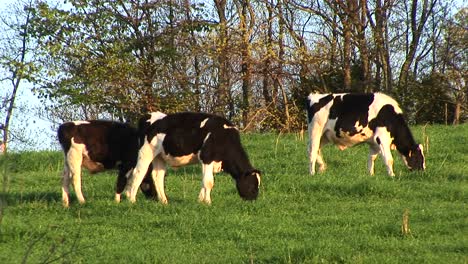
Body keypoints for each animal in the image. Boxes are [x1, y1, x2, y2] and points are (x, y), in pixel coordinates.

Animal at [124, 111, 262, 204]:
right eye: (252, 184)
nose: (253, 200)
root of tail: (147, 116)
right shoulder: (207, 157)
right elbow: (209, 182)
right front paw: (208, 202)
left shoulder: (209, 162)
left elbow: (204, 180)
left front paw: (200, 201)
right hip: (146, 153)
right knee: (138, 173)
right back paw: (132, 199)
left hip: (159, 157)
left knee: (158, 176)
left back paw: (164, 201)